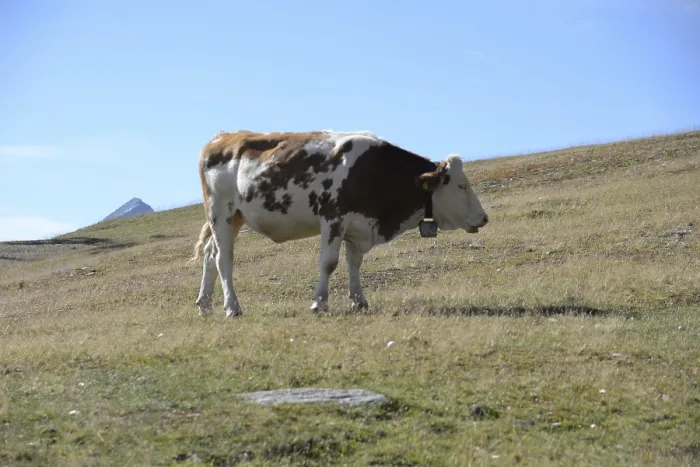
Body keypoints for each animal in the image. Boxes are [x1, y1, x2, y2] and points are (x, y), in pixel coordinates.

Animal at [190, 130, 488, 318]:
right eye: (462, 185)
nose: (484, 218)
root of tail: (222, 137)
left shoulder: (358, 226)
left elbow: (354, 263)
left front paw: (359, 301)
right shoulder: (333, 219)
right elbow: (329, 263)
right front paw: (319, 303)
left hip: (233, 219)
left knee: (210, 255)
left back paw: (205, 305)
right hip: (220, 213)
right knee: (224, 260)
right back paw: (232, 307)